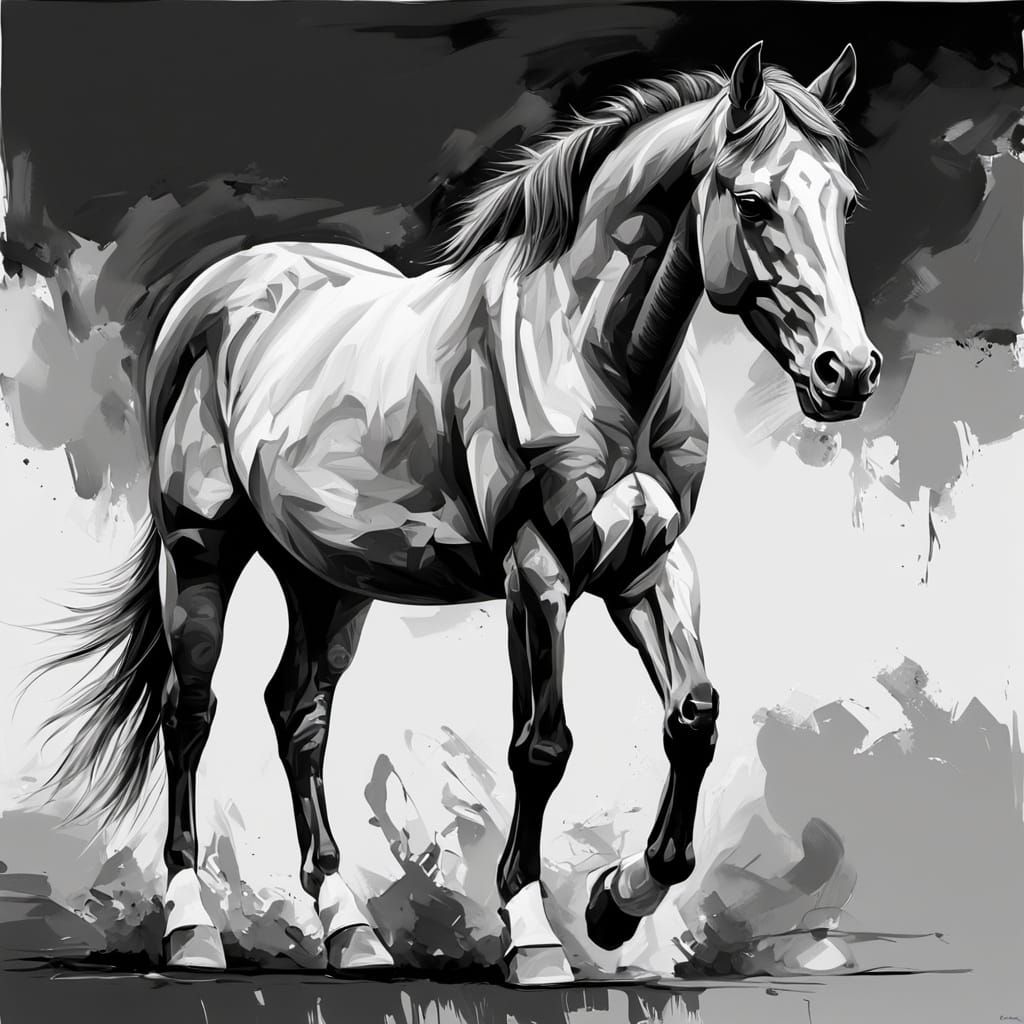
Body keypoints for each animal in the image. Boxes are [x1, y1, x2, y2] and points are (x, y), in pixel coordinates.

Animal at [38, 41, 880, 985]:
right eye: (754, 202)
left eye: (844, 202)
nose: (848, 372)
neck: (588, 353)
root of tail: (217, 291)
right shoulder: (537, 568)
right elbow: (541, 745)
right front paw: (535, 933)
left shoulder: (648, 565)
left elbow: (693, 717)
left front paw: (617, 903)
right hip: (202, 546)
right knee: (189, 713)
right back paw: (192, 928)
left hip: (328, 578)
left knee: (299, 716)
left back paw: (350, 931)